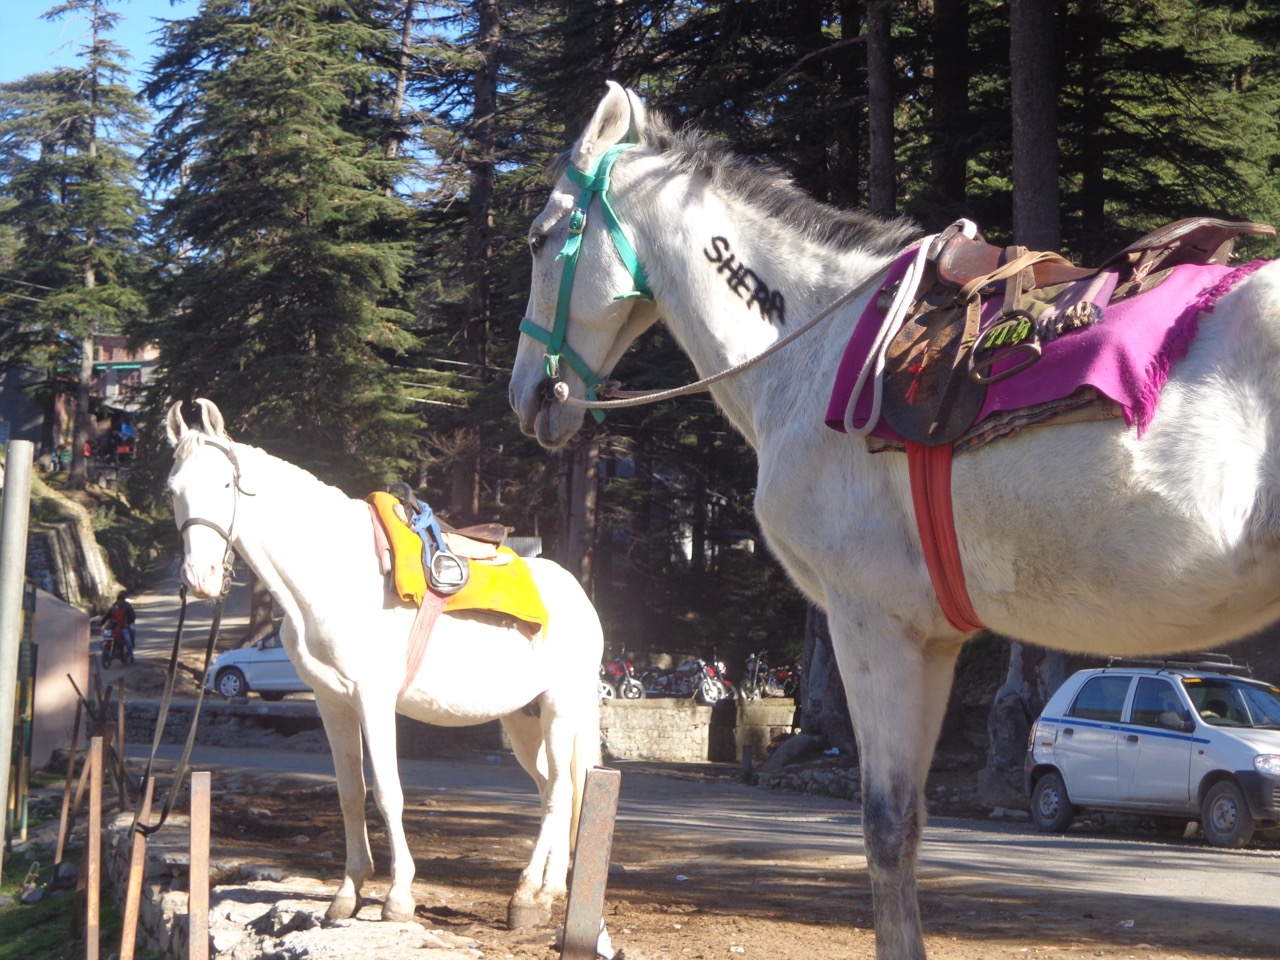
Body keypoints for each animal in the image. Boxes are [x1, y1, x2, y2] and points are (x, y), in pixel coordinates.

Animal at [165, 399, 603, 929]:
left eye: (226, 486)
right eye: (172, 490)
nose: (201, 579)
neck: (333, 574)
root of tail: (582, 598)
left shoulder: (373, 700)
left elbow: (388, 793)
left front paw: (398, 897)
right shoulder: (331, 703)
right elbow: (351, 793)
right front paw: (348, 893)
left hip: (561, 709)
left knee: (560, 791)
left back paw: (531, 898)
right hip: (523, 719)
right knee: (551, 789)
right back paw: (543, 890)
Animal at [508, 83, 1280, 960]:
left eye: (539, 238)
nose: (529, 394)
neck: (812, 350)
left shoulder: (869, 621)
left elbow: (884, 827)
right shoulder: (934, 637)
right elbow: (906, 825)